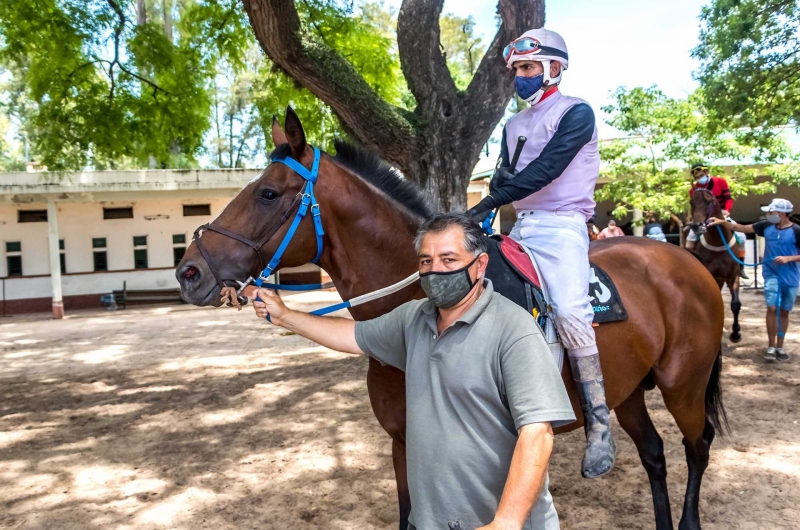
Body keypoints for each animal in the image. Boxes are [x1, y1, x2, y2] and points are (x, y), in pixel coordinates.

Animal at [178, 109, 728, 524]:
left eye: (268, 193)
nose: (189, 271)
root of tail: (686, 262)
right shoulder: (404, 444)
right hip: (629, 390)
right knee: (654, 454)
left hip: (682, 385)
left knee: (698, 446)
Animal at [688, 189, 744, 342]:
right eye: (691, 202)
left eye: (708, 202)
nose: (696, 226)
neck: (717, 242)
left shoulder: (733, 276)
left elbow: (735, 304)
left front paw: (735, 333)